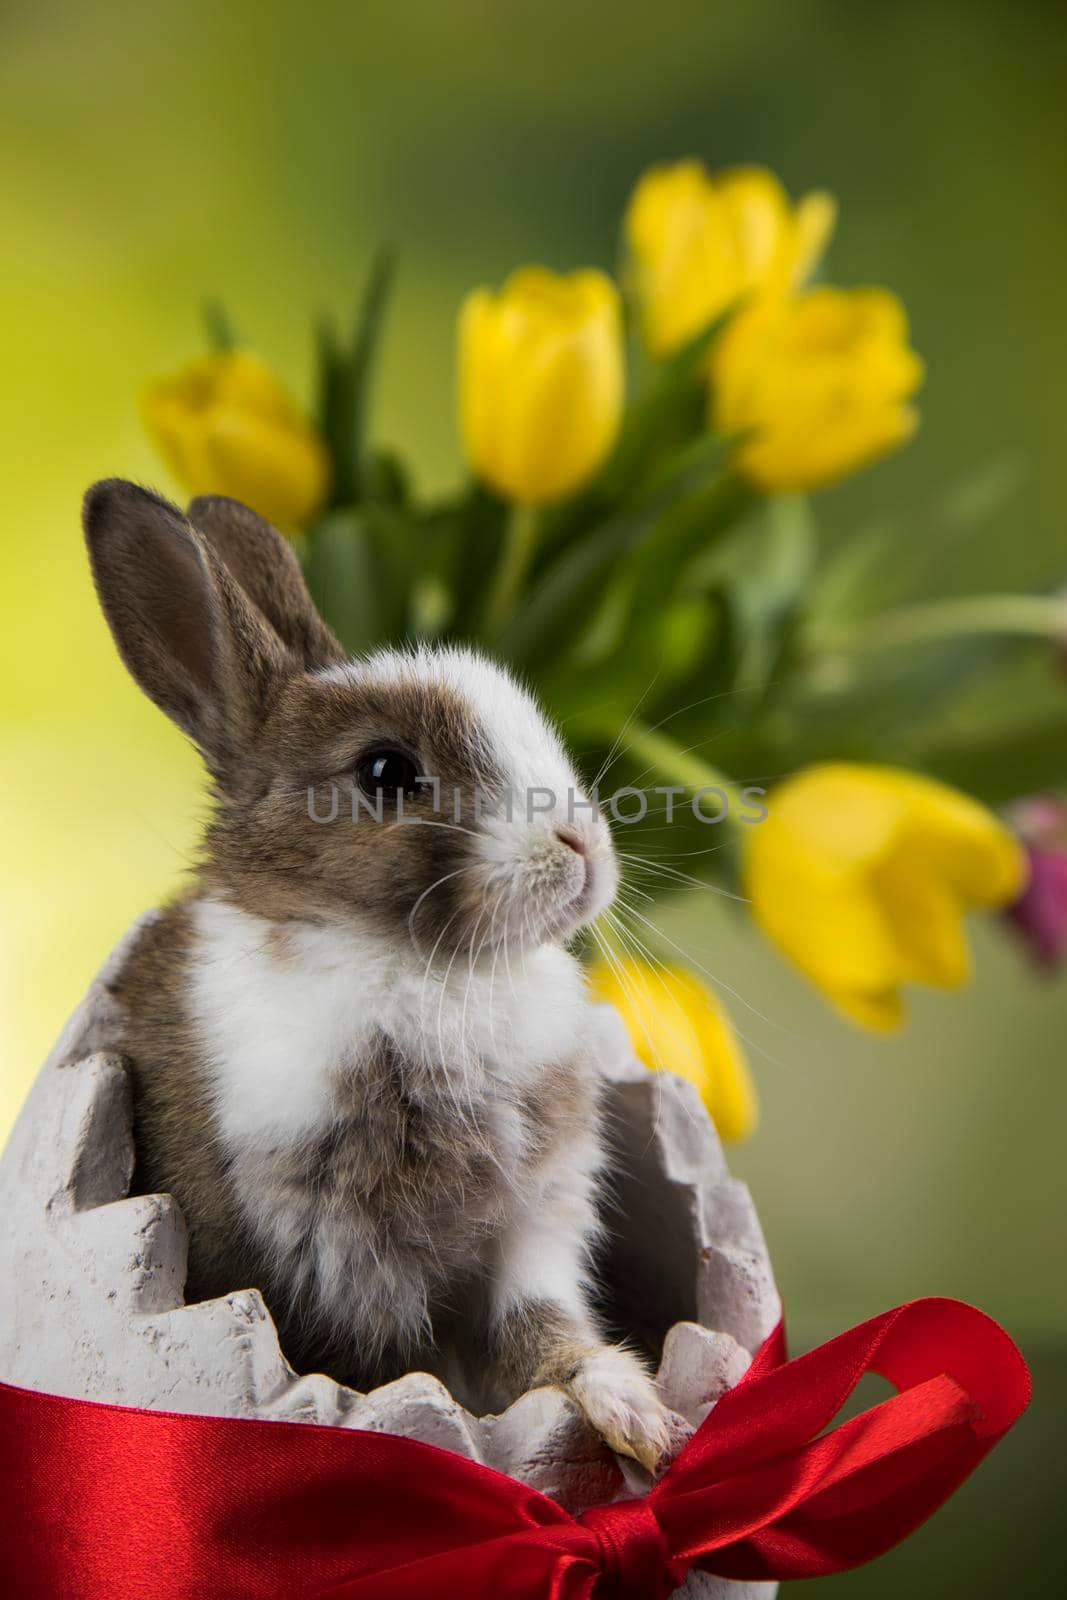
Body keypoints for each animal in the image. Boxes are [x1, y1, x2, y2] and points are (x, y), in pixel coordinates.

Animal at [87, 476, 681, 1472]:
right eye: (385, 771)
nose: (581, 848)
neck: (426, 974)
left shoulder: (531, 1233)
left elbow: (545, 1336)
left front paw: (638, 1418)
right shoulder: (308, 1261)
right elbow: (371, 1378)